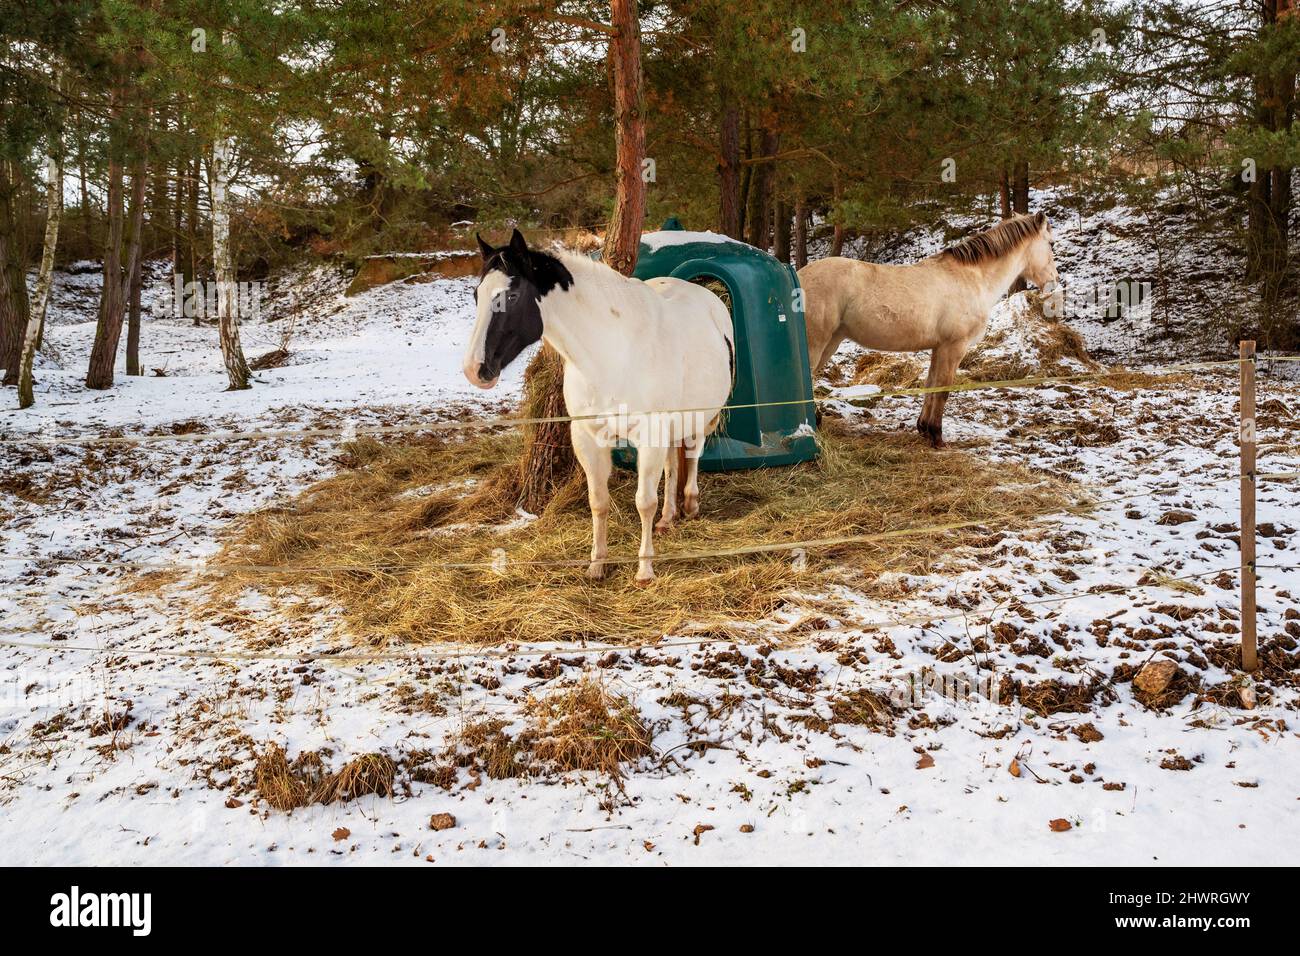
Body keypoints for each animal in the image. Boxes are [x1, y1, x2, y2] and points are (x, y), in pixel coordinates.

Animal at [463, 229, 734, 584]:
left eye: (512, 296)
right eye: (476, 295)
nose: (475, 369)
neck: (612, 351)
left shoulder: (649, 434)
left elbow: (644, 502)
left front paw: (644, 569)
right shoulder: (588, 437)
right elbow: (598, 501)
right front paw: (597, 564)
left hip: (701, 416)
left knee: (692, 451)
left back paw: (689, 504)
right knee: (672, 463)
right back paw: (667, 518)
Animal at [798, 211, 1062, 447]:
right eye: (1051, 243)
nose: (1054, 283)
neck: (972, 278)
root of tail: (797, 275)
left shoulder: (939, 347)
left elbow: (931, 385)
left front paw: (923, 428)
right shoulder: (954, 347)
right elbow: (943, 389)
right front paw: (936, 436)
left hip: (831, 342)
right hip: (817, 343)